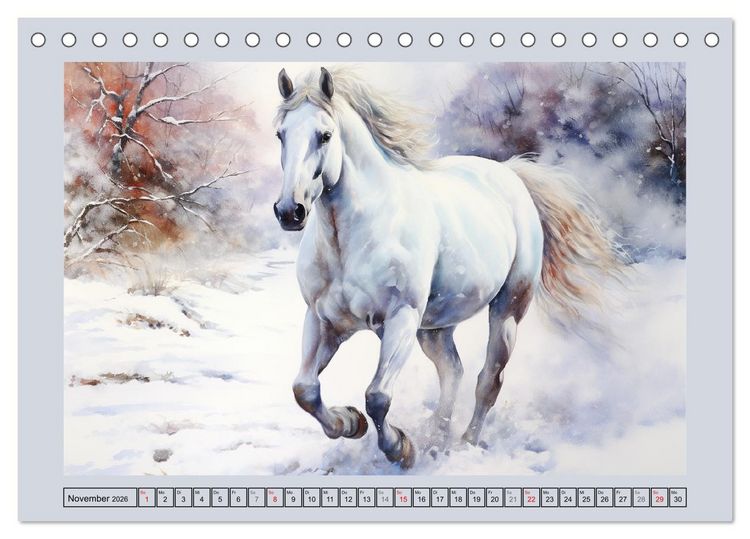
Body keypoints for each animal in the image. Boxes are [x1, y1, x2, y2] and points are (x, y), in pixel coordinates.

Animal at [272, 66, 625, 469]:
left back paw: (464, 443)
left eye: (325, 135)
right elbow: (305, 390)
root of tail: (509, 173)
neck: (351, 238)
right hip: (435, 327)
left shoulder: (401, 319)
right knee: (452, 371)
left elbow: (377, 396)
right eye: (281, 134)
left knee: (488, 380)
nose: (290, 211)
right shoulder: (322, 321)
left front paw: (400, 448)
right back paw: (436, 436)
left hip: (506, 311)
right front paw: (349, 423)